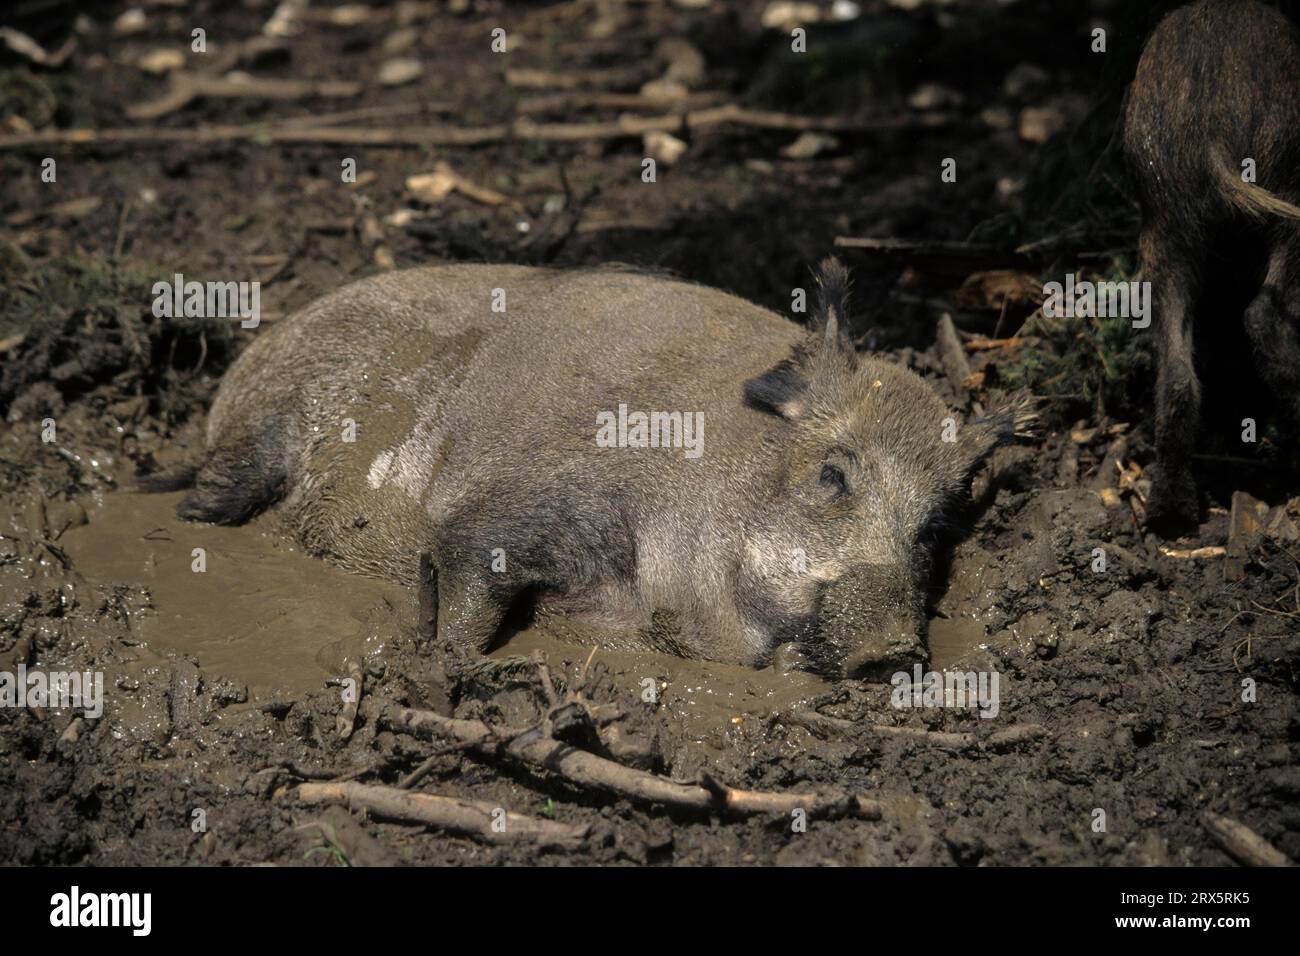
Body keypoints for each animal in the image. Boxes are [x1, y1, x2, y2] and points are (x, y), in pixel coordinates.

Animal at [153, 260, 1030, 676]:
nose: (893, 650)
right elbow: (470, 570)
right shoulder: (527, 500)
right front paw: (441, 658)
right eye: (832, 474)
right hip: (256, 436)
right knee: (213, 497)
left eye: (932, 526)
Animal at [1123, 0, 1300, 531]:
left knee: (1177, 372)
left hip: (1165, 225)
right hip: (1283, 188)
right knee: (1262, 314)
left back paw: (1170, 514)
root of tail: (1209, 137)